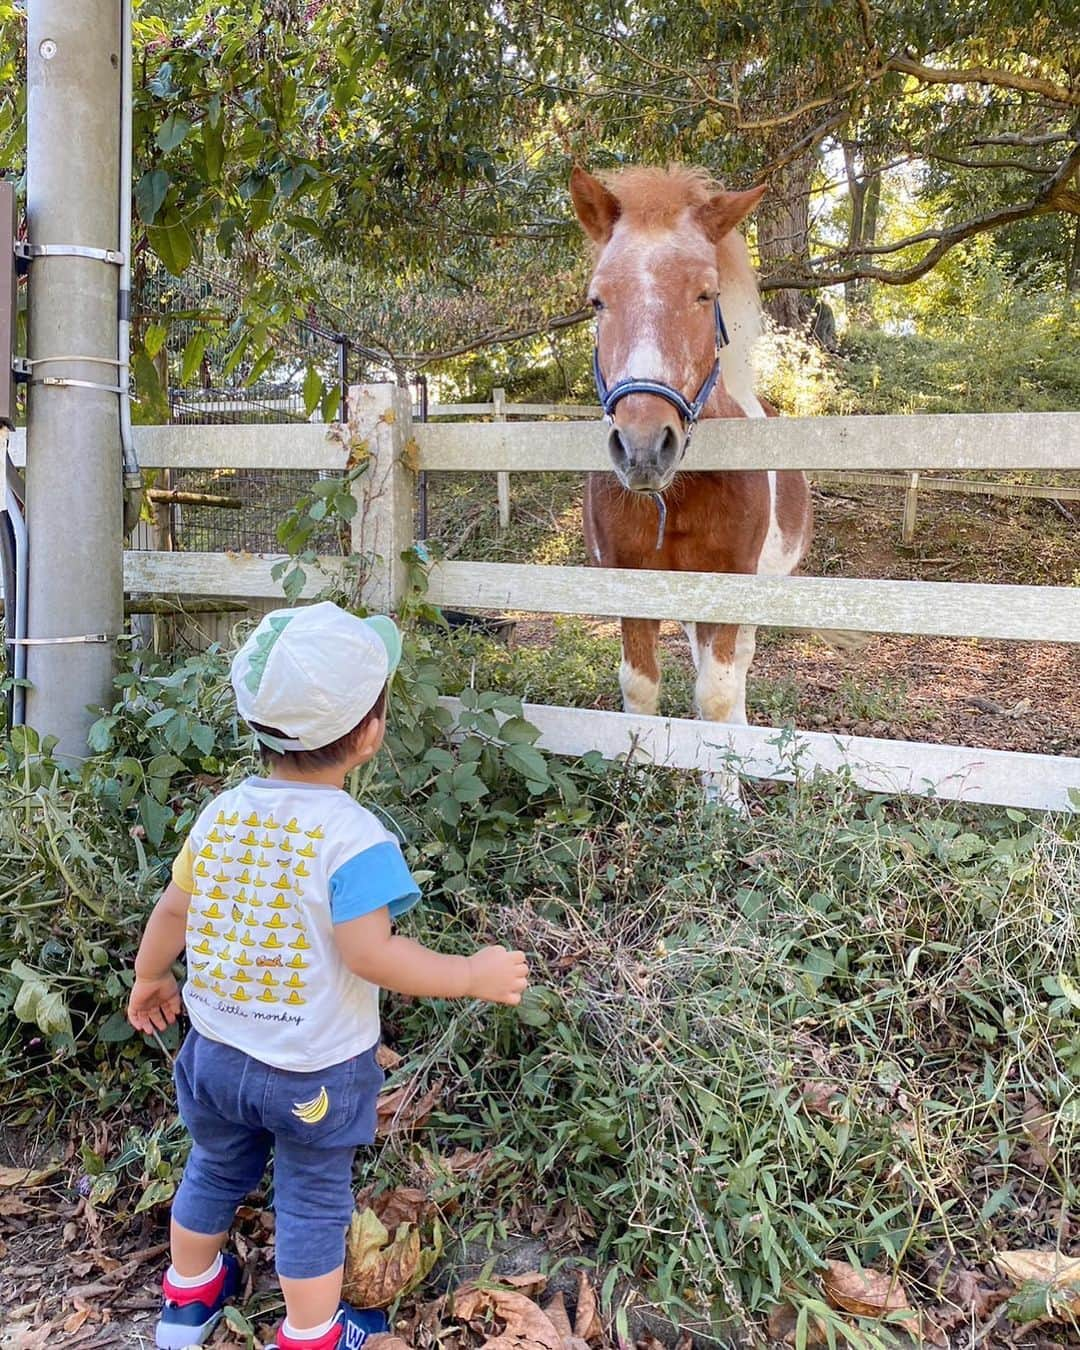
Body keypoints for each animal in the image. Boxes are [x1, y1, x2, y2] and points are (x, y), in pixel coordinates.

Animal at [572, 168, 810, 799]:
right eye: (598, 300)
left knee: (737, 667)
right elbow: (640, 685)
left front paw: (724, 798)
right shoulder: (633, 581)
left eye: (705, 294)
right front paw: (637, 781)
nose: (642, 447)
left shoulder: (729, 584)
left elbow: (718, 693)